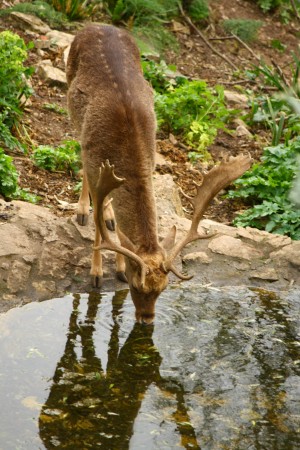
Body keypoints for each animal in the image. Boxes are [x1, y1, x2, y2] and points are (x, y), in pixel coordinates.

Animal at [67, 23, 252, 324]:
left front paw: (118, 264)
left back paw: (109, 216)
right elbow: (98, 228)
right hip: (71, 99)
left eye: (163, 289)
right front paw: (97, 274)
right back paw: (83, 211)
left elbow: (120, 232)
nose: (147, 319)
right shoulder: (94, 160)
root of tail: (97, 24)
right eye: (136, 286)